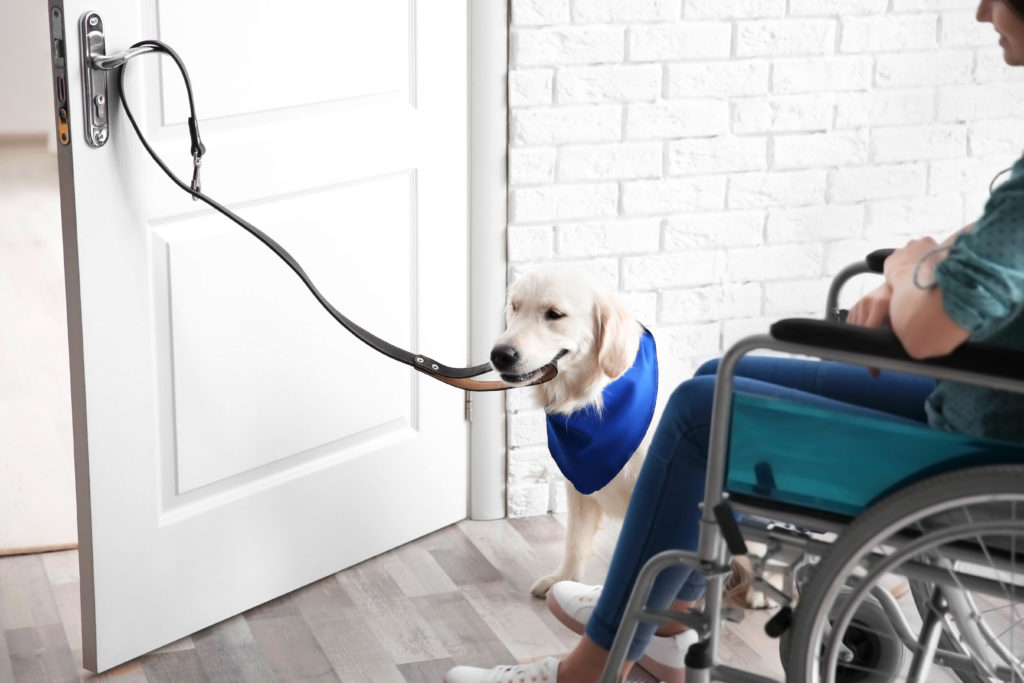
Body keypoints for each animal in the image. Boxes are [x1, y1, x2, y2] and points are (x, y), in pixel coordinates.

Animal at [489, 266, 770, 610]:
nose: (499, 355)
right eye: (514, 307)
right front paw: (562, 580)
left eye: (554, 314)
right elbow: (575, 542)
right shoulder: (578, 485)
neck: (593, 397)